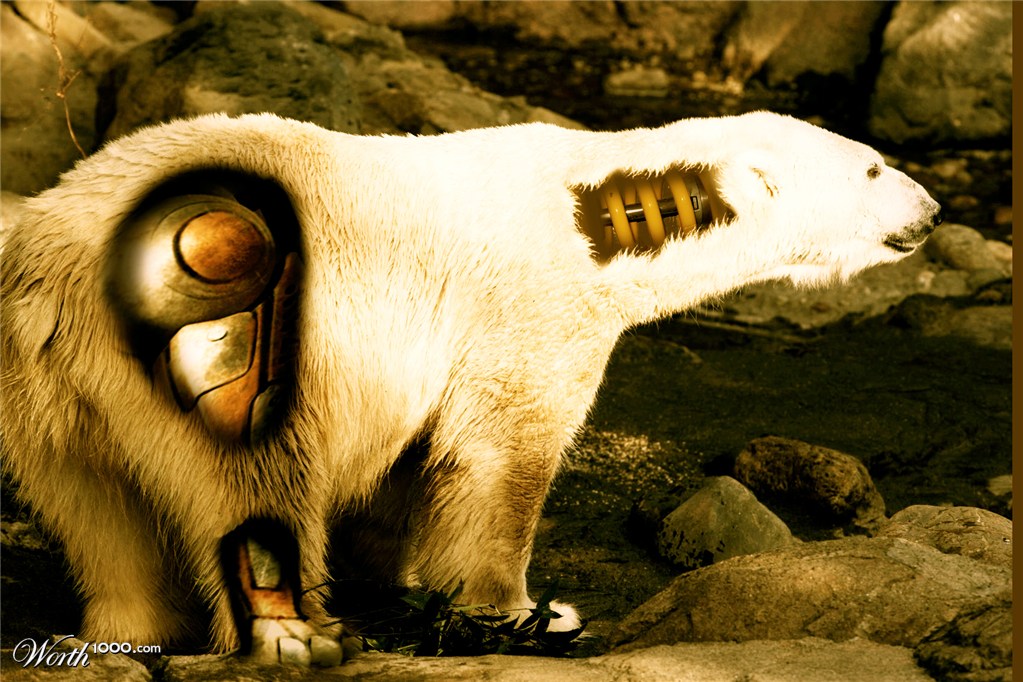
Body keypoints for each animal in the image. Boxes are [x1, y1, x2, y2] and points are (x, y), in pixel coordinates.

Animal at [0, 112, 941, 663]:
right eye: (871, 168)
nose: (930, 212)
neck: (602, 220)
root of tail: (60, 267)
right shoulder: (526, 305)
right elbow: (499, 454)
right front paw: (528, 612)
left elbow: (404, 465)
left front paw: (398, 574)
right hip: (230, 337)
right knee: (256, 481)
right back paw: (303, 633)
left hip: (45, 389)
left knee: (96, 508)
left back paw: (130, 629)